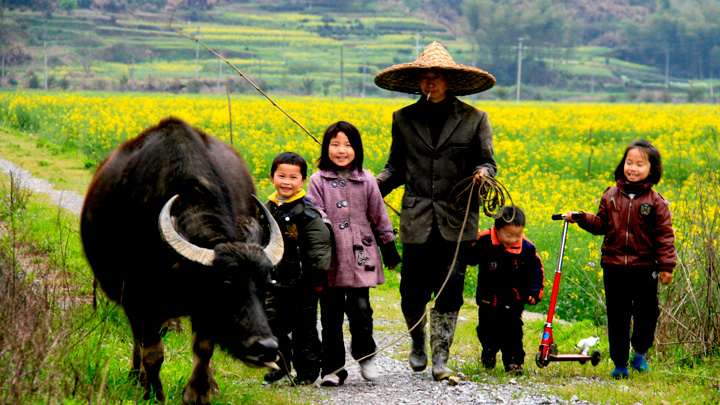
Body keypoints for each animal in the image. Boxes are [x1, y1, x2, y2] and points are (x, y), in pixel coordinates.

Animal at [79, 115, 282, 402]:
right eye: (226, 285)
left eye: (266, 286)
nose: (266, 347)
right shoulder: (137, 300)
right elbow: (153, 351)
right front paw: (153, 393)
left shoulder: (204, 311)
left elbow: (204, 349)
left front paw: (200, 392)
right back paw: (135, 377)